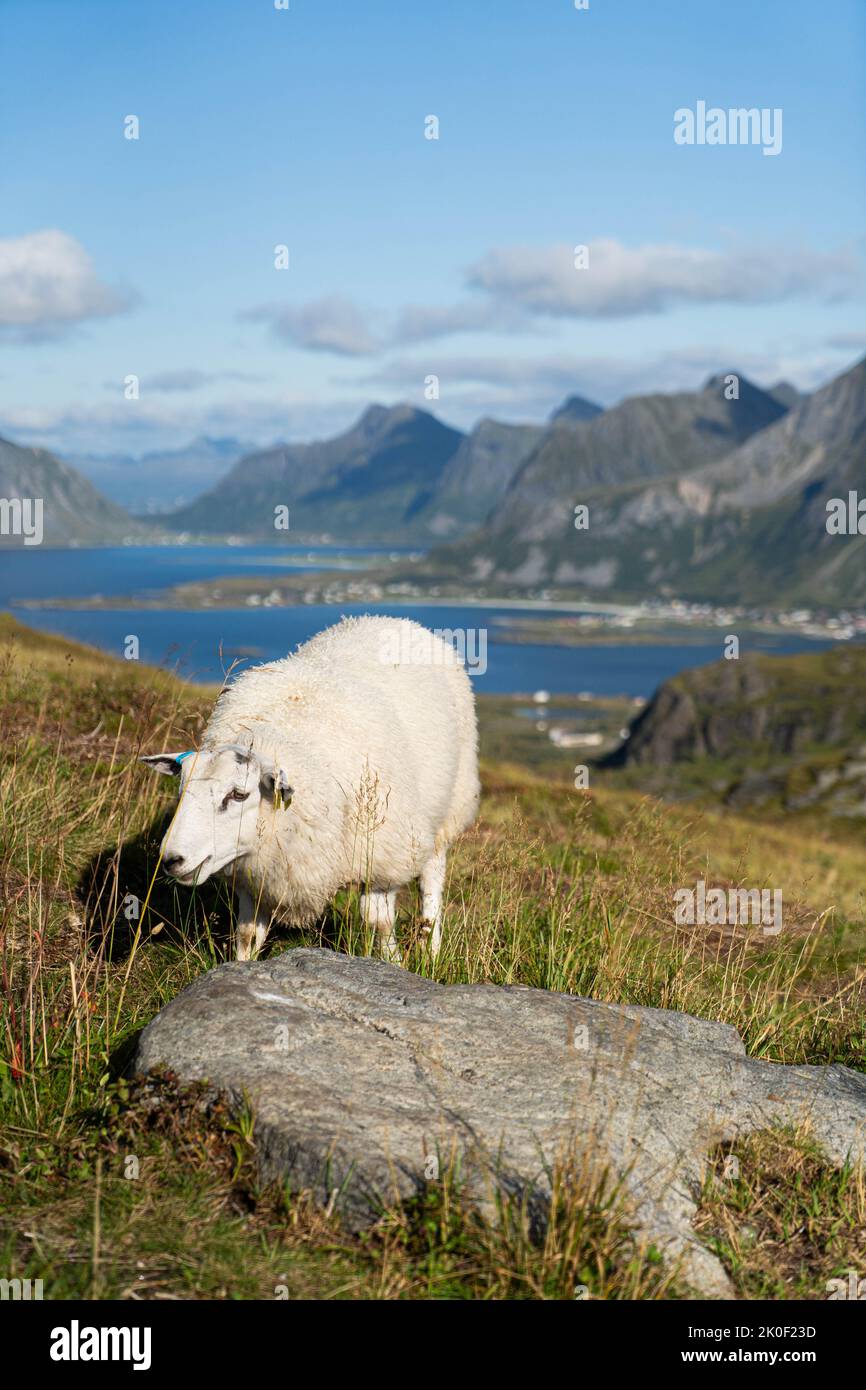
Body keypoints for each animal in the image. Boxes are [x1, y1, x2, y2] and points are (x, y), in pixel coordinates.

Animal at [141, 615, 480, 961]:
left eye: (237, 795)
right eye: (181, 790)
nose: (171, 859)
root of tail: (393, 619)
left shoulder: (383, 855)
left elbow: (379, 923)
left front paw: (393, 963)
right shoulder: (257, 873)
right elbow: (247, 934)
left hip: (449, 805)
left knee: (432, 878)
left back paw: (431, 948)